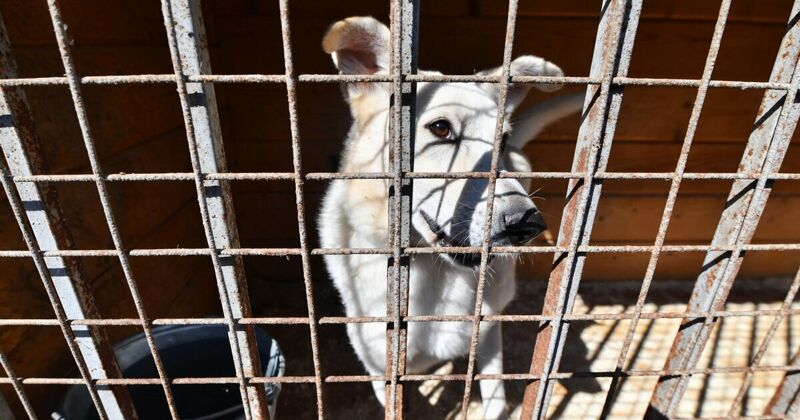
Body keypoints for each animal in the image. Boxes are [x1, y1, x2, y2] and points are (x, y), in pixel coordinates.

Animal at [318, 17, 580, 420]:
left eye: (501, 142)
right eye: (441, 129)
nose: (527, 224)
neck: (431, 271)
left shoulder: (486, 334)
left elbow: (495, 398)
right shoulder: (380, 369)